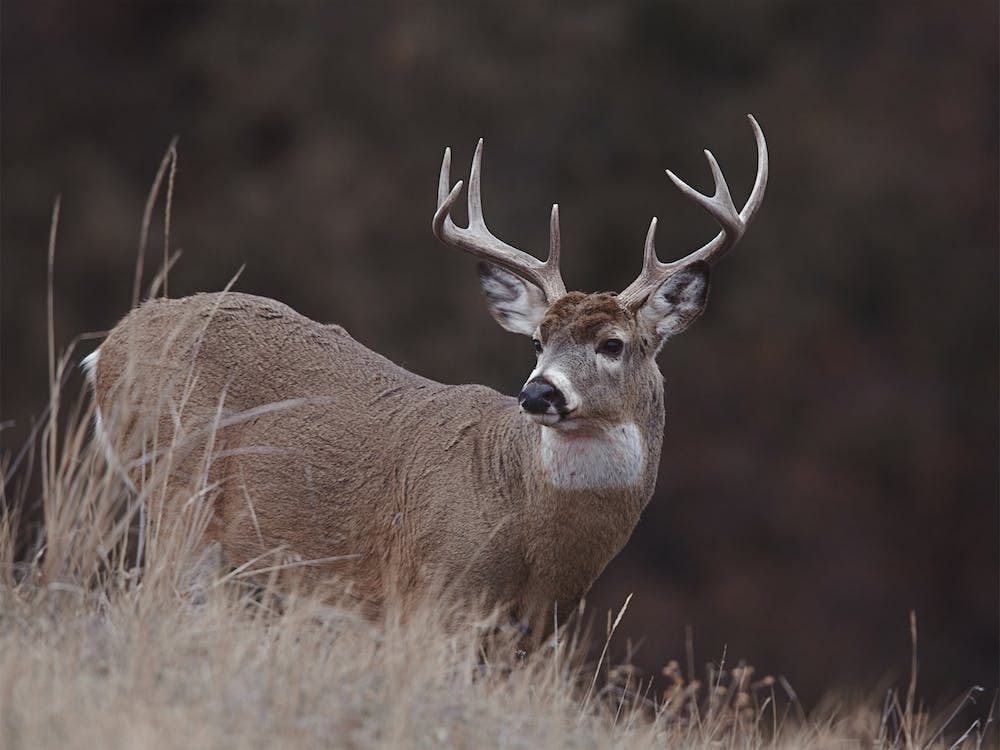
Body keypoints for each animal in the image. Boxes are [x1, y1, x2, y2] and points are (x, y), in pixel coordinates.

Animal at [84, 116, 767, 640]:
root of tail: (109, 348)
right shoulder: (432, 593)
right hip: (178, 490)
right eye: (538, 341)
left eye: (613, 344)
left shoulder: (529, 635)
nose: (538, 392)